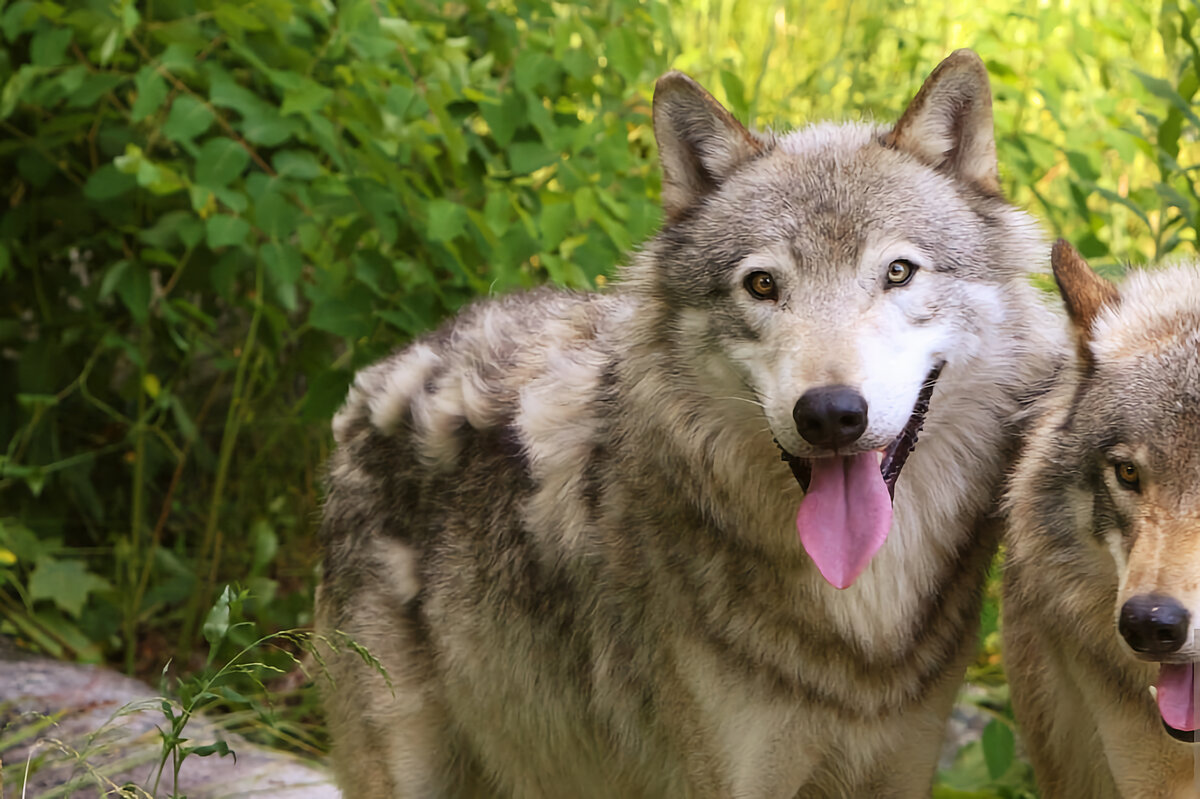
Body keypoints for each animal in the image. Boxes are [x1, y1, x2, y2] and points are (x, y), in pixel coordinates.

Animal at [319, 51, 1070, 796]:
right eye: (762, 285)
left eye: (898, 272)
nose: (830, 414)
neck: (860, 612)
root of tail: (379, 375)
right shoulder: (728, 777)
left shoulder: (905, 766)